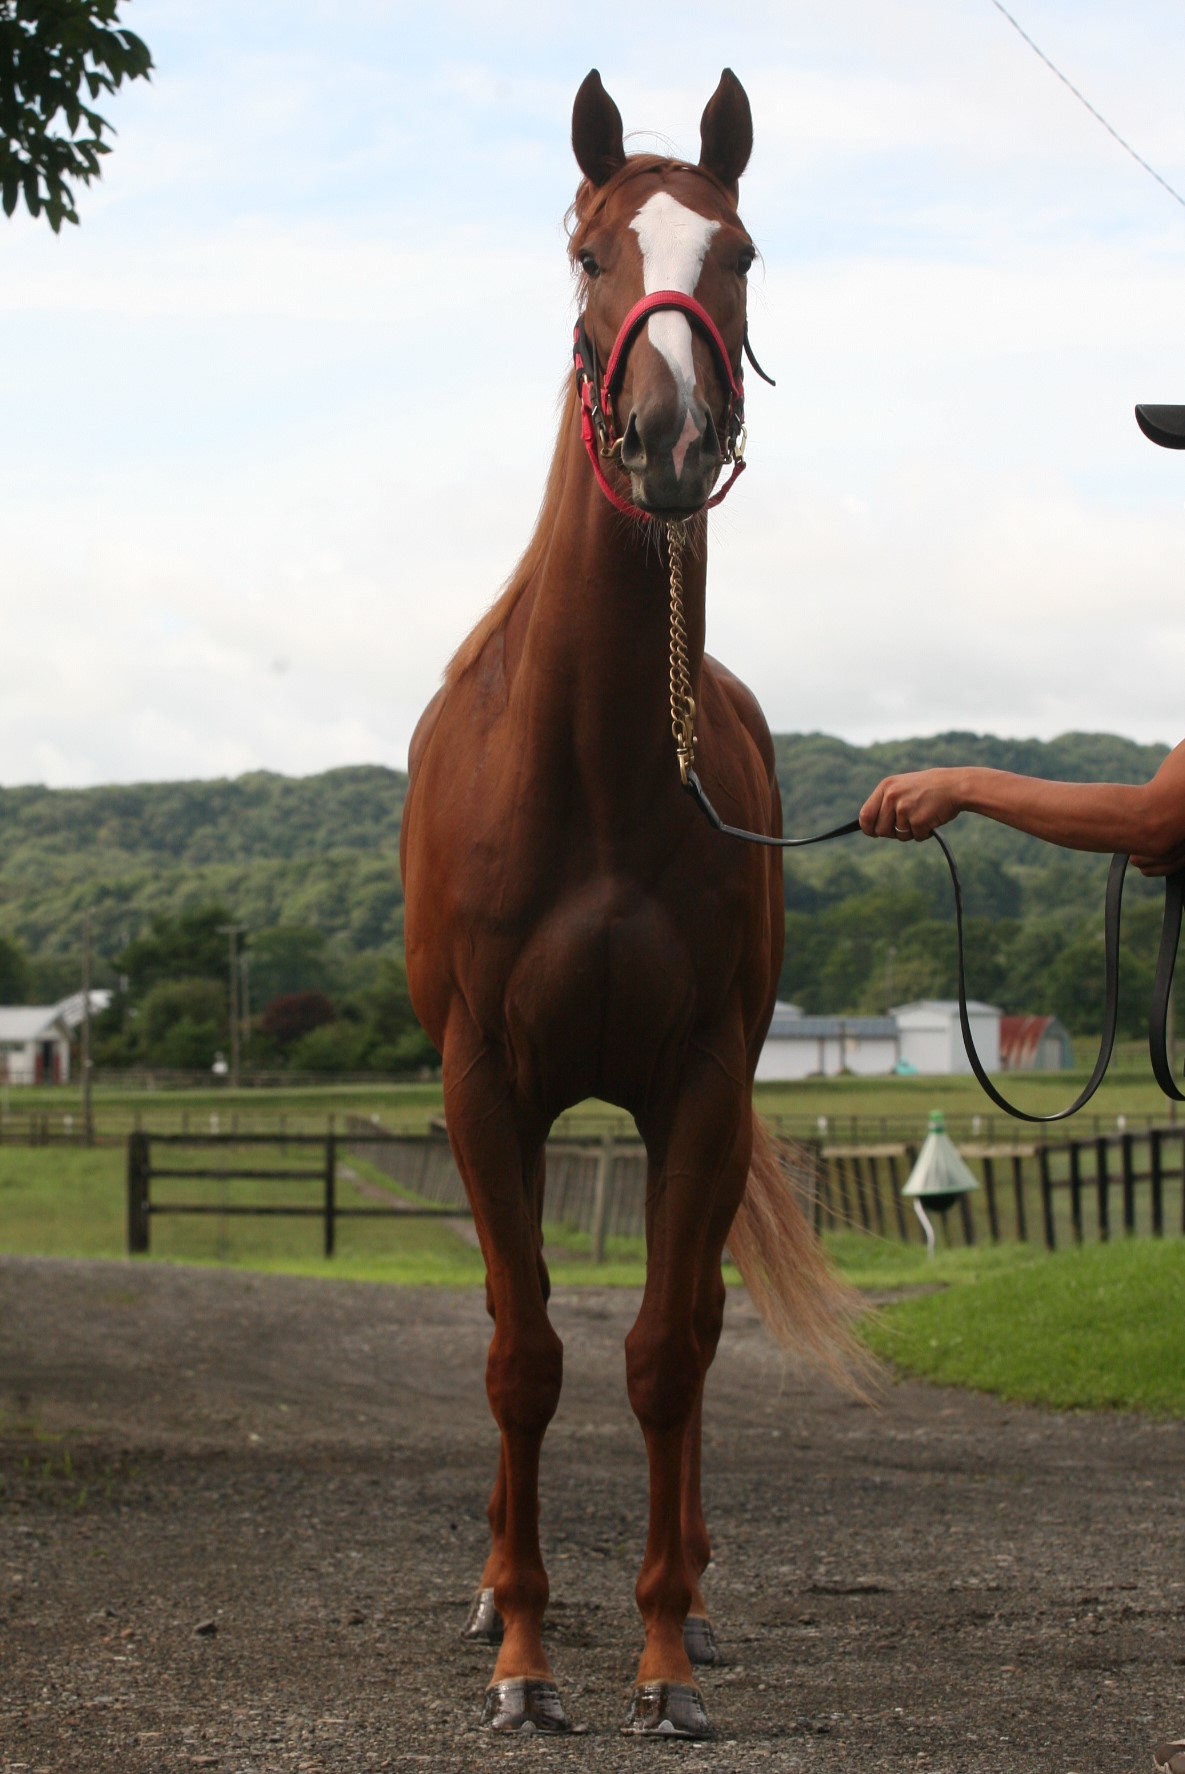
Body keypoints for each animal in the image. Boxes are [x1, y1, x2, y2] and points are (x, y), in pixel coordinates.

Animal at [402, 72, 855, 1745]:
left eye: (740, 252)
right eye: (590, 253)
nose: (668, 437)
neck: (595, 768)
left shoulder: (699, 1087)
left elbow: (663, 1354)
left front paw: (662, 1658)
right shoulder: (488, 1089)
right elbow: (522, 1352)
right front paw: (526, 1653)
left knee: (699, 1335)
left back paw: (698, 1600)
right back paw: (487, 1592)